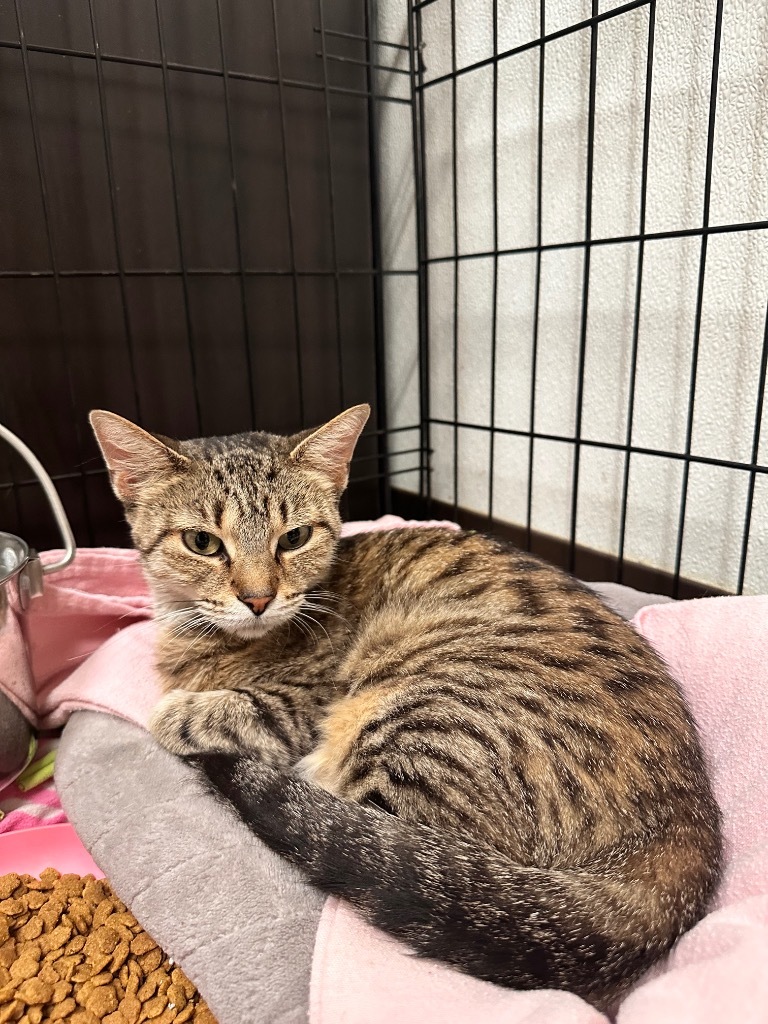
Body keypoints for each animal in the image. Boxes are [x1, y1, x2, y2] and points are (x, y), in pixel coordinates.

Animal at [93, 401, 724, 1007]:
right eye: (201, 543)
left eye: (294, 537)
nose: (258, 598)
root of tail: (684, 828)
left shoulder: (295, 709)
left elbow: (189, 715)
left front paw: (175, 712)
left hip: (419, 727)